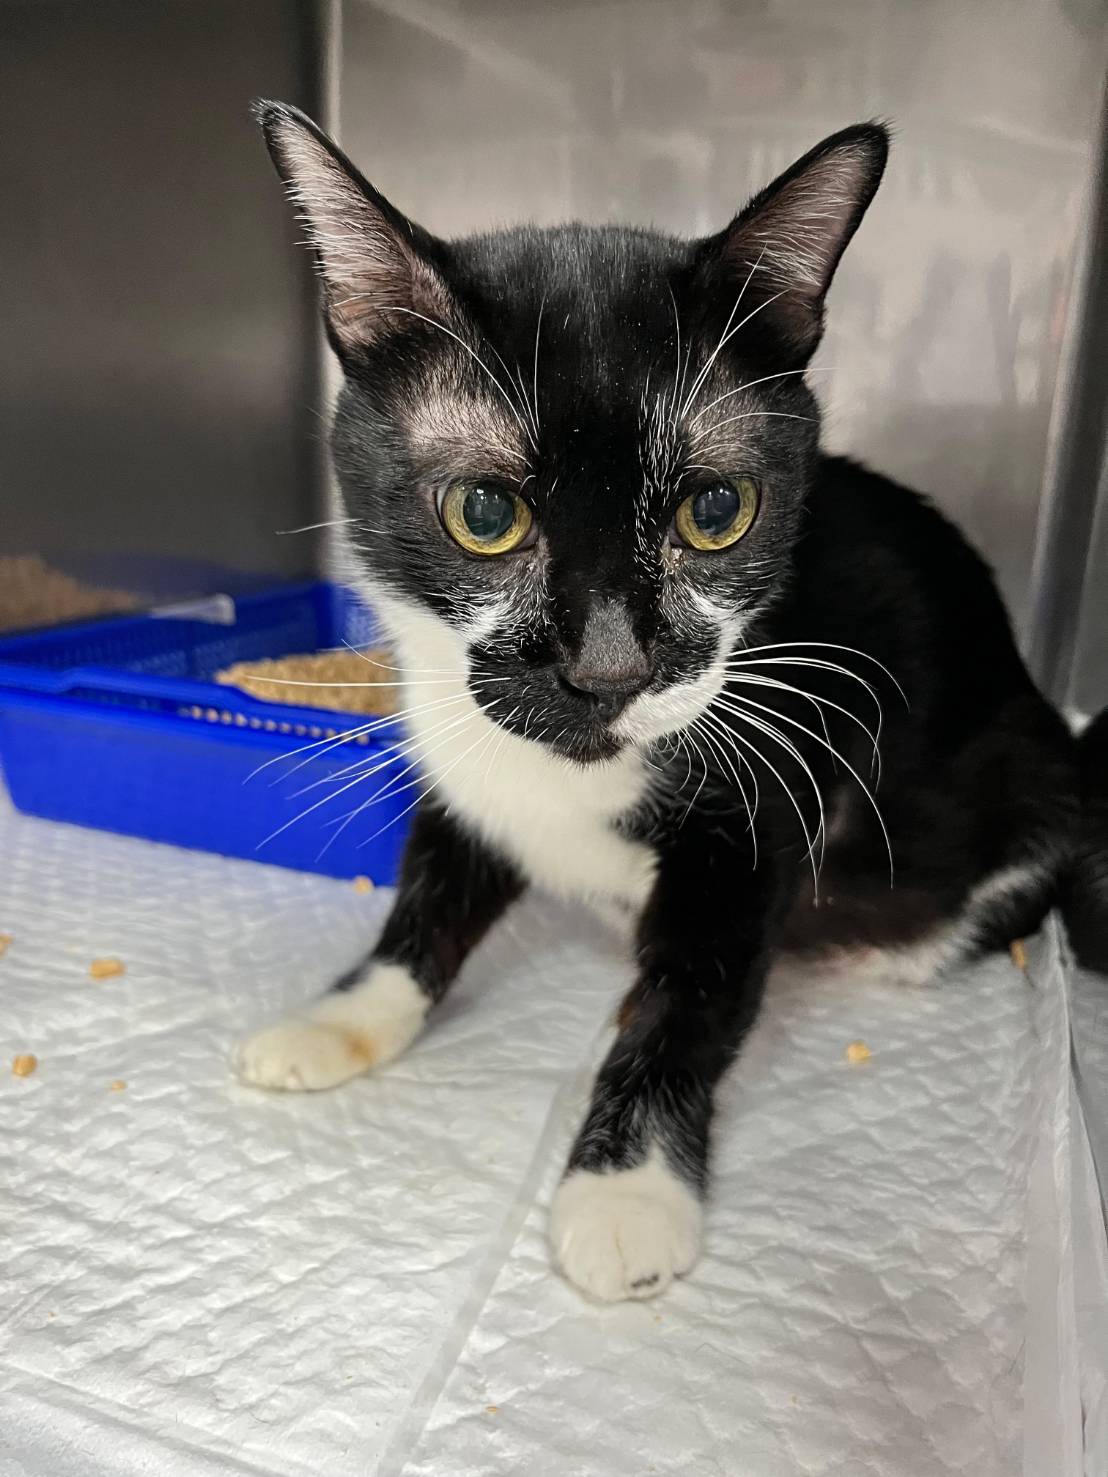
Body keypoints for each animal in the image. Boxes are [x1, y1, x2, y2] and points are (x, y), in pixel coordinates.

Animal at [234, 102, 1080, 1302]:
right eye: (484, 512)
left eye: (715, 511)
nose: (608, 668)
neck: (570, 769)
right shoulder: (459, 752)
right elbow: (431, 892)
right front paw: (345, 1013)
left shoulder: (769, 797)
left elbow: (698, 989)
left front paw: (627, 1185)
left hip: (1029, 771)